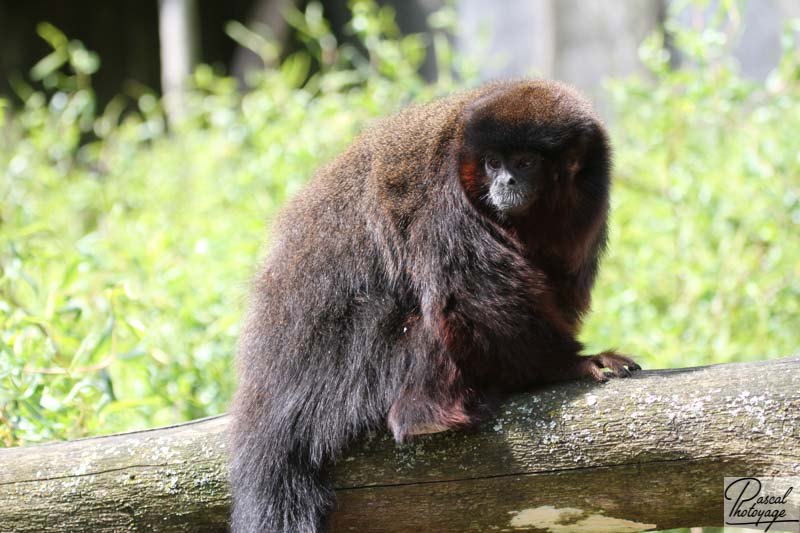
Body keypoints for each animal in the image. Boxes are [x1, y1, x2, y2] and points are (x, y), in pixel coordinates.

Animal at [228, 79, 640, 532]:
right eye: (493, 163)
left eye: (525, 162)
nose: (505, 183)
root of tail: (267, 395)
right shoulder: (444, 201)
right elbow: (474, 300)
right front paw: (568, 365)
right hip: (348, 373)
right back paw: (424, 416)